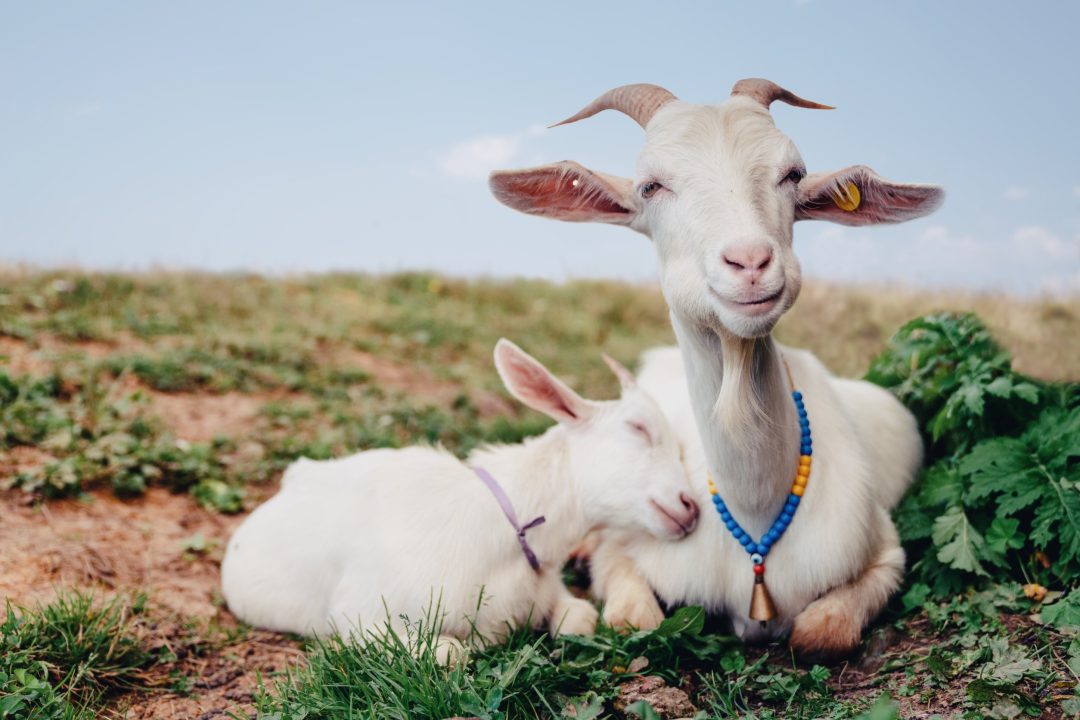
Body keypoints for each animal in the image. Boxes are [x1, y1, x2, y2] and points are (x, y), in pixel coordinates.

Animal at [220, 339, 698, 661]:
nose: (690, 506)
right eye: (639, 428)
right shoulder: (360, 619)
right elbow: (453, 652)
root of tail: (296, 476)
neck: (509, 525)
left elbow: (580, 618)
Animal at [489, 80, 943, 659]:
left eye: (793, 173)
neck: (754, 513)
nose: (749, 262)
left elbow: (822, 632)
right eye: (650, 186)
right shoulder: (630, 548)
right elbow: (632, 618)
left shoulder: (884, 550)